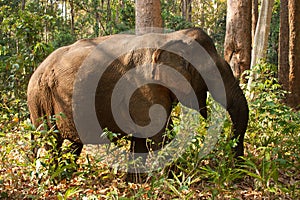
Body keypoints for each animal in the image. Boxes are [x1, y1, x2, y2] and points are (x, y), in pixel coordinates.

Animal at [27, 27, 248, 174]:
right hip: (40, 99)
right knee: (50, 142)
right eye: (211, 73)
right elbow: (159, 133)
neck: (171, 37)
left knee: (73, 144)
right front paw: (175, 178)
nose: (237, 166)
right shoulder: (143, 87)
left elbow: (145, 135)